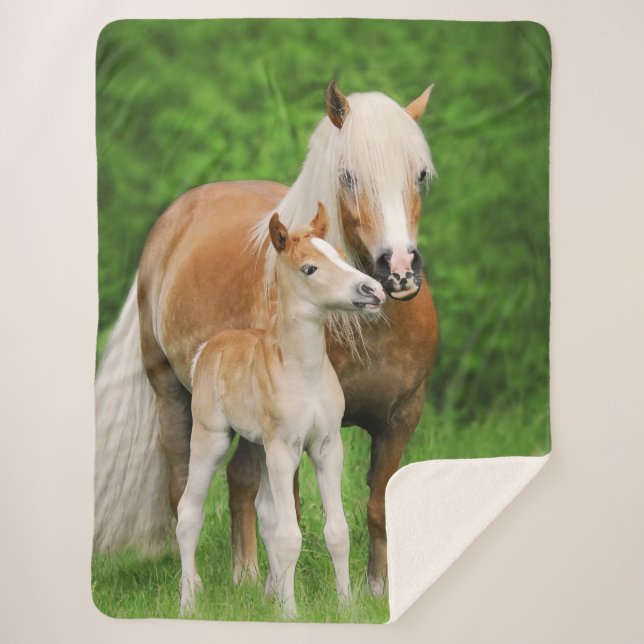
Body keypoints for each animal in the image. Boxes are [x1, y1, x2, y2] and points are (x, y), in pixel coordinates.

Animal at [177, 204, 386, 616]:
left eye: (341, 255)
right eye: (310, 268)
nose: (372, 291)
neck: (304, 372)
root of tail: (209, 347)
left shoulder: (327, 447)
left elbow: (336, 531)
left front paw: (345, 607)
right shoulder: (283, 450)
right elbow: (290, 535)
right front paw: (291, 613)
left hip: (259, 445)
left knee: (266, 514)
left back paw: (269, 594)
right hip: (212, 440)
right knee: (188, 512)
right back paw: (188, 603)